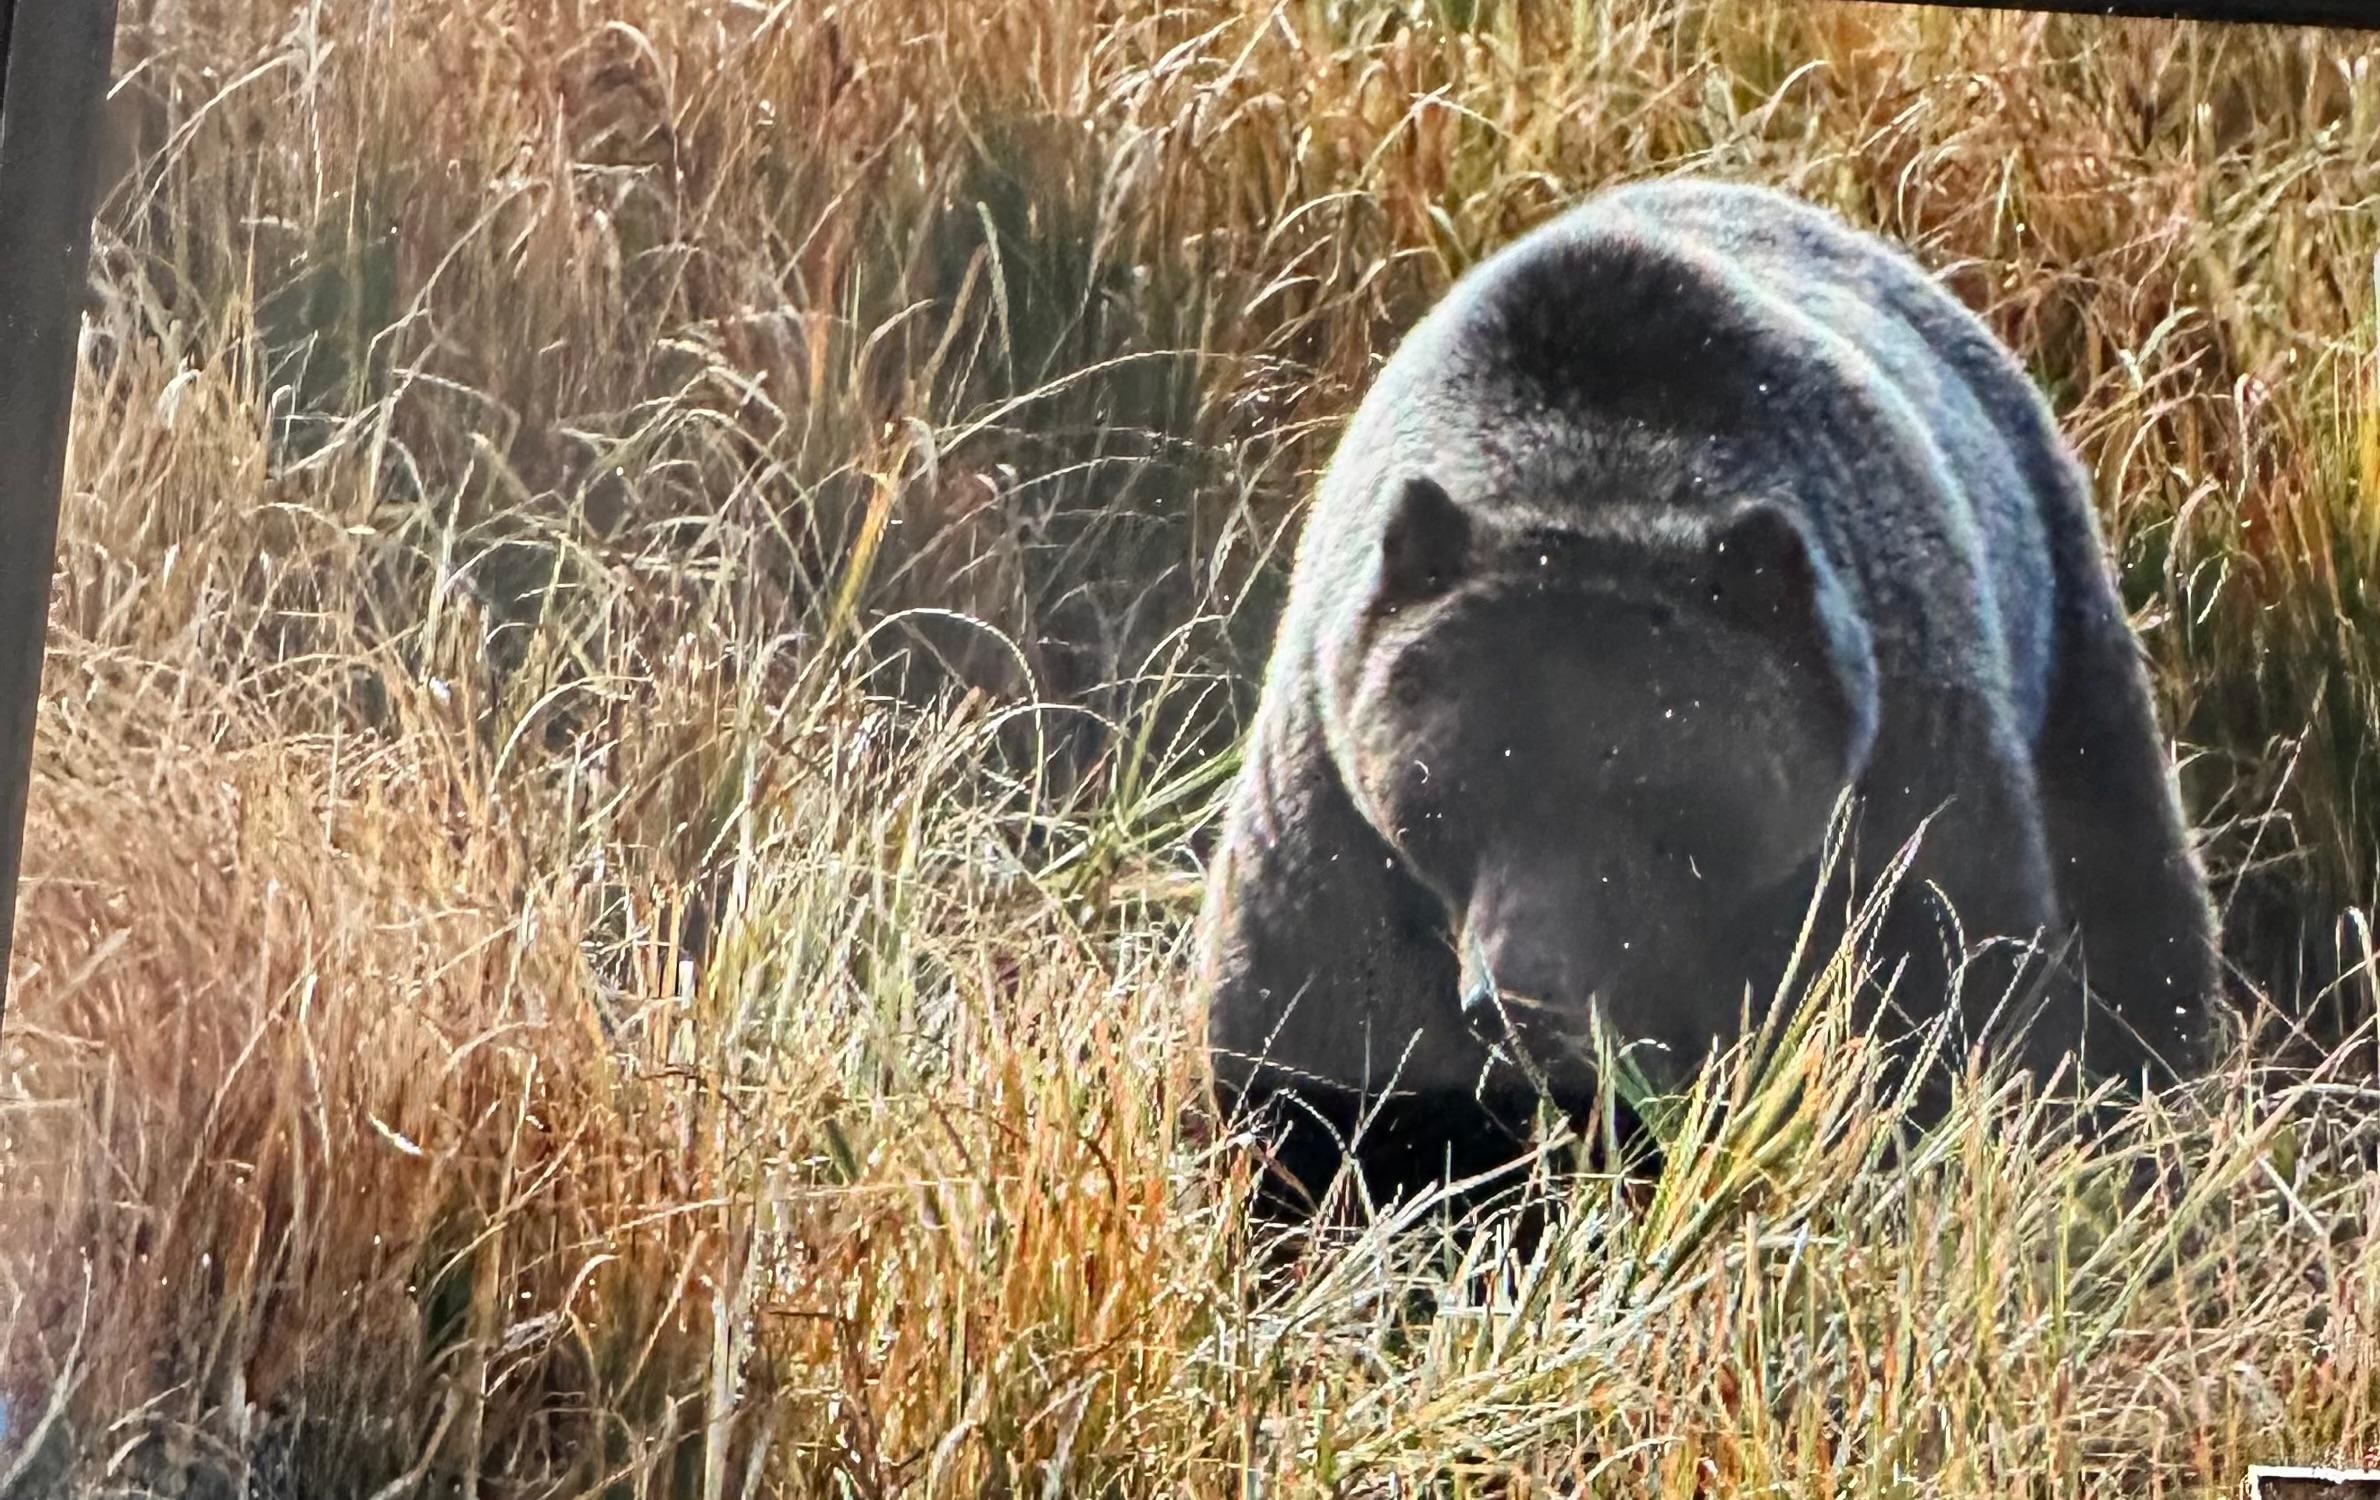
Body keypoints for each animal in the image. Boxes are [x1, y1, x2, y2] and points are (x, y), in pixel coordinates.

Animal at [1196, 176, 2220, 1218]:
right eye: (1446, 793)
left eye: (1654, 802)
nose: (1524, 1002)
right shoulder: (1339, 823)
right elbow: (1317, 1057)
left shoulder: (1896, 793)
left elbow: (1943, 1011)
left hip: (2068, 645)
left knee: (2134, 902)